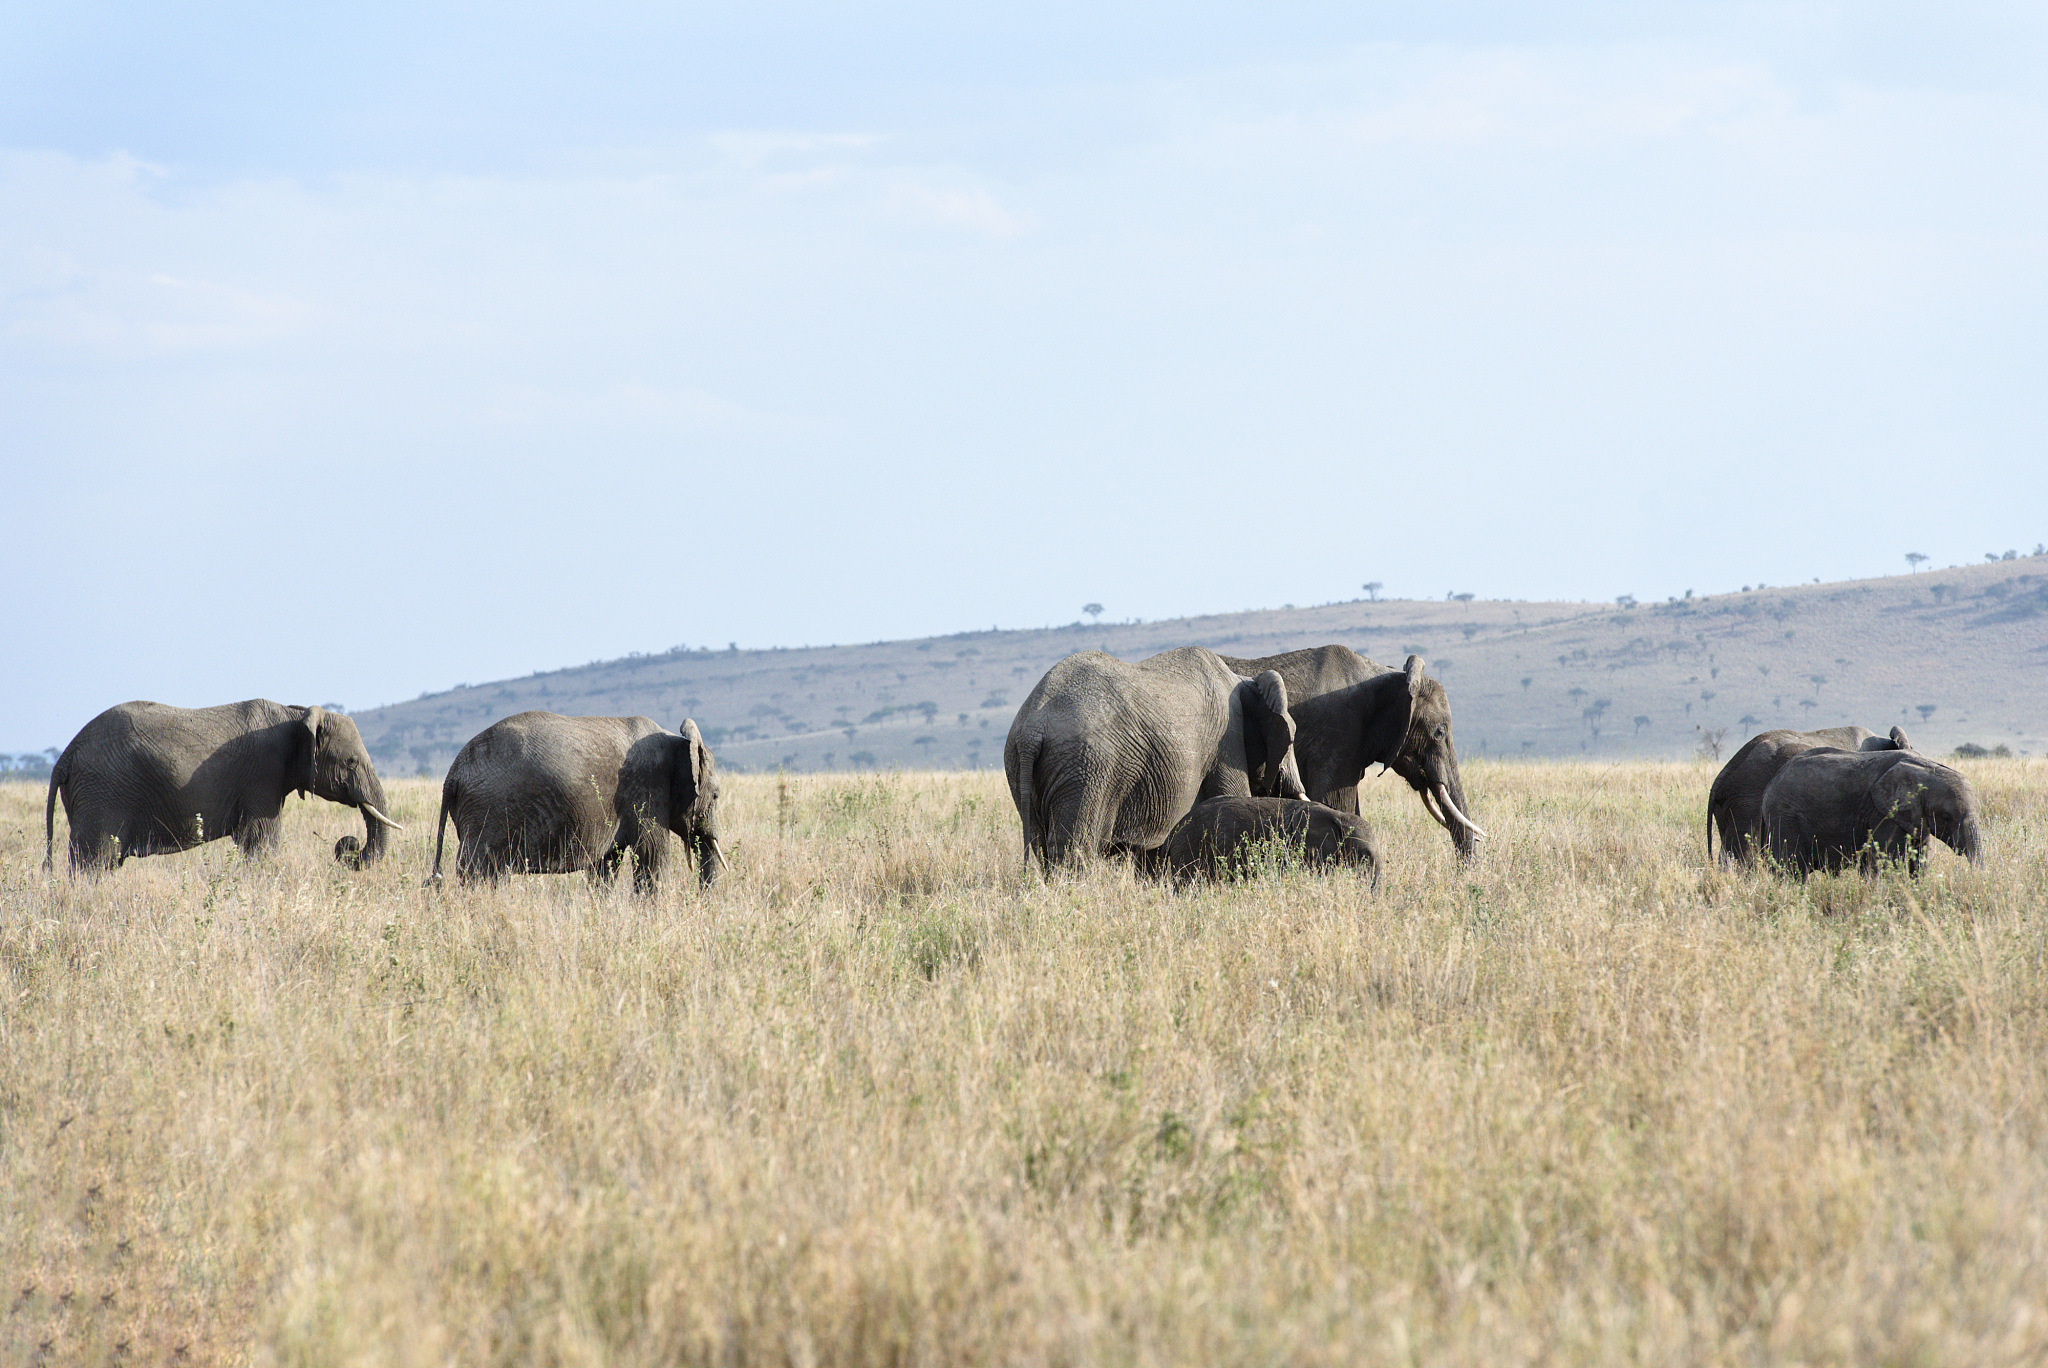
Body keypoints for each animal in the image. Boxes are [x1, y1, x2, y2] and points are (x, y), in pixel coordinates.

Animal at [44, 700, 401, 873]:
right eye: (351, 762)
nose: (349, 848)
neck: (295, 714)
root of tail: (66, 755)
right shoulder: (262, 775)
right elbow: (261, 841)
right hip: (102, 792)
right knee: (94, 862)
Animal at [430, 711, 722, 889]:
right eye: (717, 795)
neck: (678, 741)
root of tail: (452, 774)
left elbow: (605, 865)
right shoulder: (647, 788)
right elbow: (652, 855)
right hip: (486, 813)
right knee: (476, 870)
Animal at [1003, 647, 1307, 870]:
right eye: (1291, 737)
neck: (1241, 679)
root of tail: (1031, 731)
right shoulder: (1226, 738)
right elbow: (1231, 796)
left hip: (1021, 768)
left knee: (1041, 845)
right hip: (1087, 768)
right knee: (1073, 847)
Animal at [1760, 747, 1981, 877]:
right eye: (1946, 817)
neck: (1926, 768)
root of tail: (1773, 780)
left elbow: (1919, 860)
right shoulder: (1883, 813)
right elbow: (1887, 860)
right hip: (1785, 815)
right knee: (1794, 869)